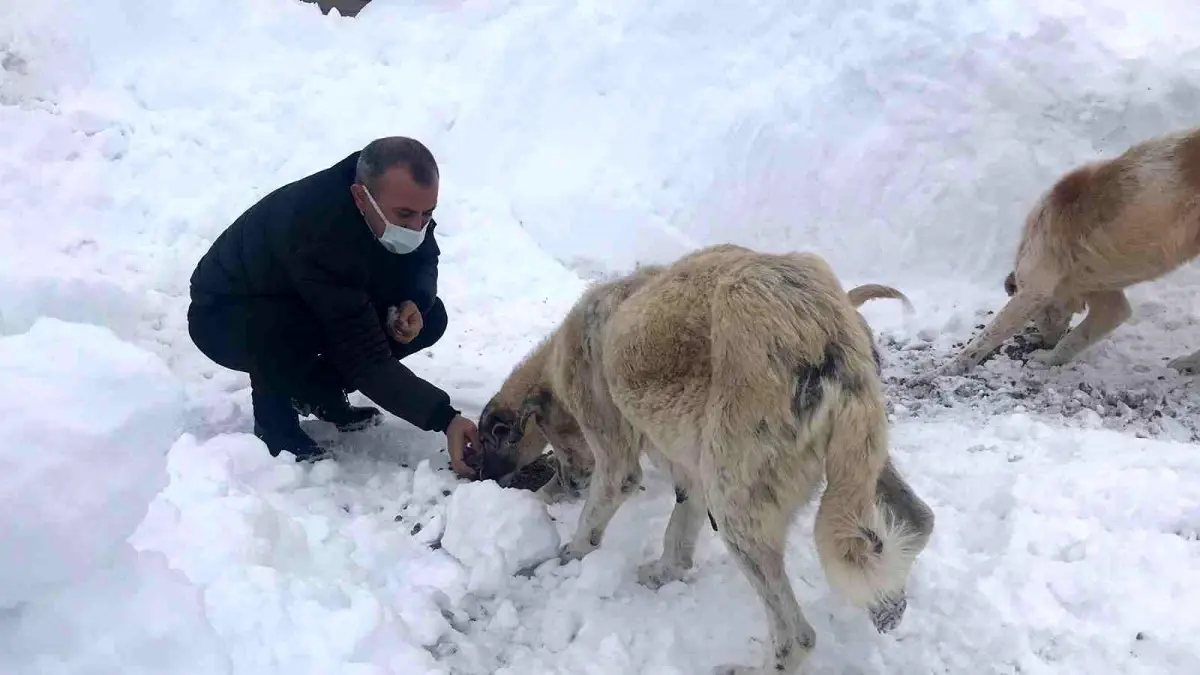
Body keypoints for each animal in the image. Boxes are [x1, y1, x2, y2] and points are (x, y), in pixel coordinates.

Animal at [472, 246, 931, 672]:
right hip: (859, 464)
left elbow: (593, 523)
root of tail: (825, 334)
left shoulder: (619, 460)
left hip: (735, 508)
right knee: (917, 520)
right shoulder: (690, 470)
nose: (560, 484)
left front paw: (563, 557)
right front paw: (664, 573)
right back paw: (889, 605)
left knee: (797, 636)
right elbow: (678, 533)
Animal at [940, 125, 1200, 372]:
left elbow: (988, 335)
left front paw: (951, 367)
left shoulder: (1034, 288)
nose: (1046, 343)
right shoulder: (1104, 298)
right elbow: (1081, 334)